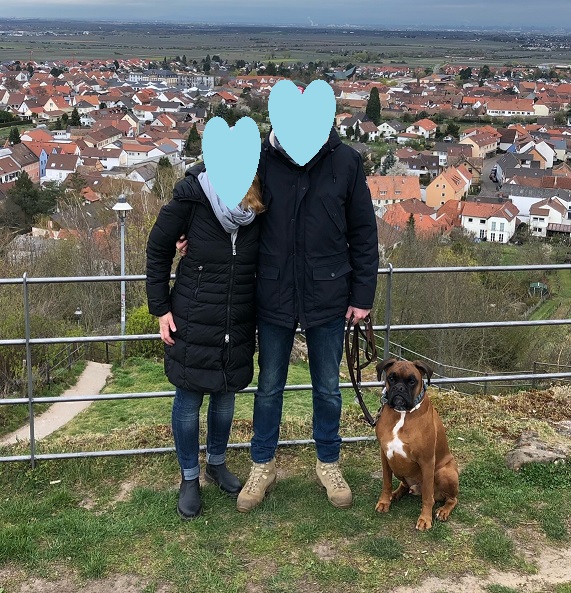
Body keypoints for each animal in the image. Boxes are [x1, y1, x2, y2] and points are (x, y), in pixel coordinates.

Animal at [374, 358, 459, 531]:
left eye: (412, 381)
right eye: (391, 378)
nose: (399, 388)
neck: (402, 414)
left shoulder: (427, 461)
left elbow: (427, 495)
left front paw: (425, 519)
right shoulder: (385, 455)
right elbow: (386, 482)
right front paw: (384, 501)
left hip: (445, 472)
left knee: (452, 499)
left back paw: (443, 510)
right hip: (397, 466)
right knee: (404, 485)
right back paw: (395, 494)